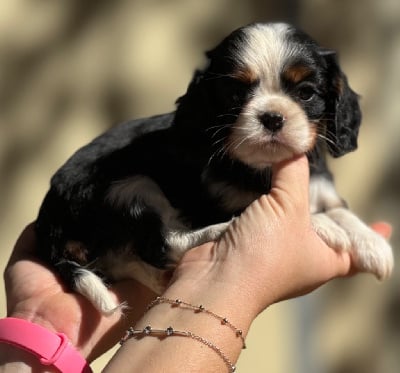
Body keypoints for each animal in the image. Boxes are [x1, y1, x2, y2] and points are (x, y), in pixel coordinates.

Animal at [35, 22, 394, 314]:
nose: (272, 117)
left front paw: (371, 243)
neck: (260, 166)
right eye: (236, 94)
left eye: (306, 93)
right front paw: (324, 224)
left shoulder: (322, 190)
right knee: (164, 244)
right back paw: (221, 230)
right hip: (132, 186)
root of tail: (48, 219)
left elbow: (341, 210)